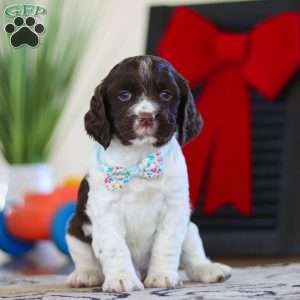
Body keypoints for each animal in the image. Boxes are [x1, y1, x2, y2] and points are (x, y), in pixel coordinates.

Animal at [66, 55, 232, 292]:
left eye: (166, 94)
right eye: (124, 95)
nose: (146, 116)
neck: (140, 160)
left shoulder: (175, 207)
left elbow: (167, 243)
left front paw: (161, 276)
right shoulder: (106, 210)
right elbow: (114, 246)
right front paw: (121, 279)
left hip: (190, 226)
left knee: (192, 252)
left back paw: (208, 269)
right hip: (74, 228)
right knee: (83, 255)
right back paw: (86, 274)